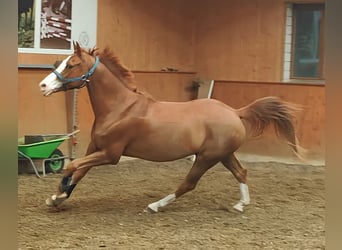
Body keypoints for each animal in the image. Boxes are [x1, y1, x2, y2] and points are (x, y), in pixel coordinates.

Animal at [40, 41, 300, 213]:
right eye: (60, 62)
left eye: (71, 64)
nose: (43, 86)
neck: (120, 107)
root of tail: (234, 112)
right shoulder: (95, 147)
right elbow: (79, 170)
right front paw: (58, 197)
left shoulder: (111, 155)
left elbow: (71, 166)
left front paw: (59, 193)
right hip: (224, 154)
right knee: (241, 172)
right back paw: (240, 204)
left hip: (207, 157)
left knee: (188, 184)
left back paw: (155, 205)